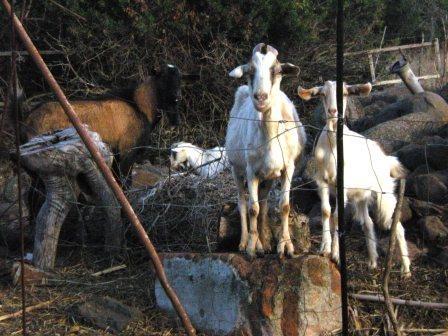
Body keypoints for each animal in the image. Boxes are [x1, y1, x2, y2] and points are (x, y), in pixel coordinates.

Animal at [226, 44, 306, 260]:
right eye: (250, 71)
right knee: (242, 202)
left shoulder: (288, 168)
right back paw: (246, 242)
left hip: (268, 177)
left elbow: (283, 206)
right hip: (236, 168)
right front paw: (252, 248)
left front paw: (285, 247)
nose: (261, 98)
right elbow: (252, 208)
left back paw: (264, 244)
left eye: (276, 71)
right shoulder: (251, 170)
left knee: (263, 206)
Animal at [300, 80, 412, 276]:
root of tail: (386, 159)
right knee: (368, 222)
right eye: (322, 94)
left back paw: (405, 269)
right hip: (362, 196)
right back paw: (373, 261)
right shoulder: (322, 182)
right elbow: (326, 211)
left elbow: (337, 216)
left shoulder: (342, 186)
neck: (333, 148)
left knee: (395, 224)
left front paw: (336, 254)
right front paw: (325, 248)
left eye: (344, 94)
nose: (333, 111)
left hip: (384, 193)